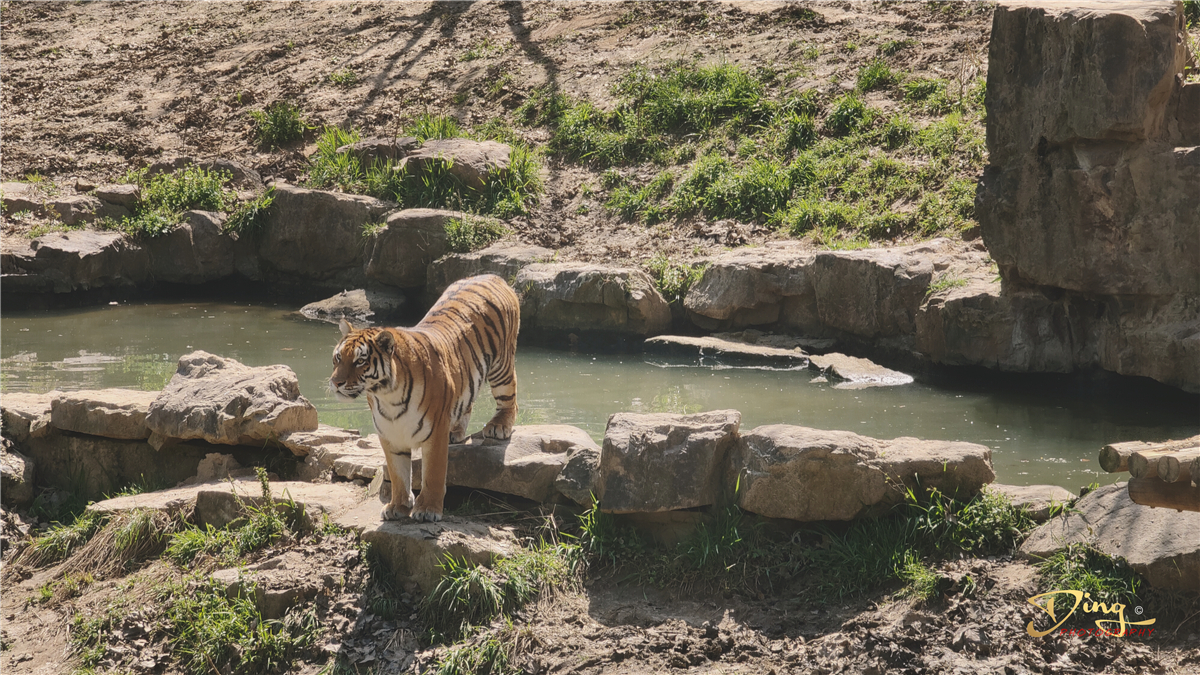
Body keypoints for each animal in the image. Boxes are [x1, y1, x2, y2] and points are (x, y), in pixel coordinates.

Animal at [331, 271, 518, 521]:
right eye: (338, 358)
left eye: (360, 361)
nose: (336, 382)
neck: (387, 397)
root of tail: (491, 275)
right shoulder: (389, 433)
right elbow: (398, 474)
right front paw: (397, 506)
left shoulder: (435, 431)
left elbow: (433, 474)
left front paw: (428, 509)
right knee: (466, 401)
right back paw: (456, 432)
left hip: (501, 366)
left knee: (509, 396)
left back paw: (498, 426)